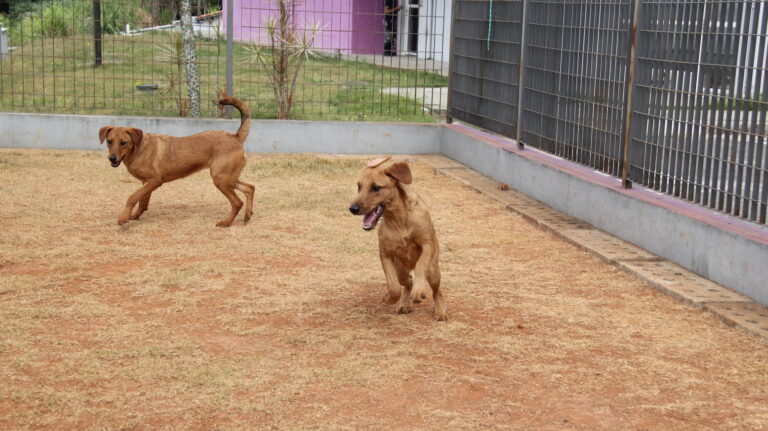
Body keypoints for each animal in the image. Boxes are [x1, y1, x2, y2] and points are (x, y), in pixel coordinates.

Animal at [97, 96, 255, 228]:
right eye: (109, 141)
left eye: (123, 143)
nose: (112, 158)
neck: (138, 149)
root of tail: (235, 136)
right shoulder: (146, 183)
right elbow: (142, 202)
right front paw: (134, 216)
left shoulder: (154, 181)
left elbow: (132, 197)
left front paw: (124, 218)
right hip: (228, 178)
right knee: (250, 188)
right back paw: (247, 216)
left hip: (220, 179)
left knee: (237, 202)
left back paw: (226, 222)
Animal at [346, 159, 448, 320]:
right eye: (359, 187)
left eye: (376, 187)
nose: (353, 209)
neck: (399, 219)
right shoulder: (386, 254)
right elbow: (393, 286)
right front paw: (390, 298)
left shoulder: (427, 244)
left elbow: (420, 266)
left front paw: (419, 290)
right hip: (400, 270)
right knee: (407, 282)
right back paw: (404, 304)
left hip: (433, 271)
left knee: (437, 290)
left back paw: (439, 311)